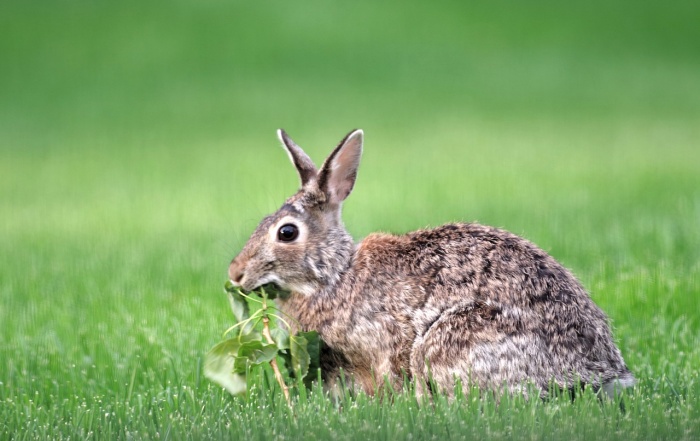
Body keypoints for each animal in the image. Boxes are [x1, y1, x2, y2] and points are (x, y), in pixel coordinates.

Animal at [228, 128, 636, 398]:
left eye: (286, 233)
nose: (235, 273)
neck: (335, 275)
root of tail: (599, 374)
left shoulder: (386, 344)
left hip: (449, 340)